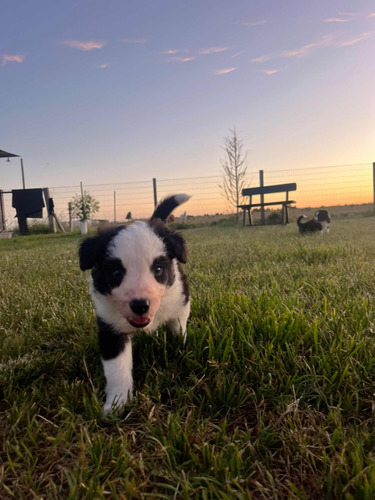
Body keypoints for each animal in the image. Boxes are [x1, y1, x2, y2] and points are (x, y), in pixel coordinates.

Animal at [79, 194, 191, 414]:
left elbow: (178, 327)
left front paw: (180, 348)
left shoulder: (180, 299)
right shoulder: (110, 327)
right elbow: (116, 369)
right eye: (116, 273)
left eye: (158, 269)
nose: (140, 305)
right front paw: (117, 403)